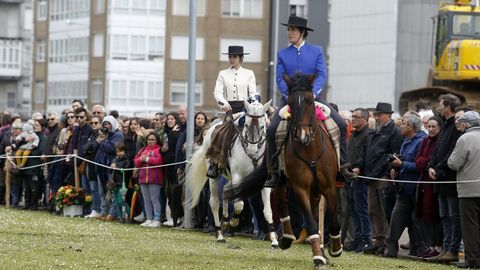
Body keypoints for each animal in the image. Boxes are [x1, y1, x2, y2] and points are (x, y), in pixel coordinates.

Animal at [187, 99, 280, 247]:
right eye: (246, 124)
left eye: (262, 126)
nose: (252, 150)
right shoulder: (238, 177)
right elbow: (239, 204)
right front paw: (233, 221)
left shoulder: (264, 183)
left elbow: (267, 211)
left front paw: (274, 239)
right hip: (214, 178)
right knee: (214, 202)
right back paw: (220, 233)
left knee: (225, 190)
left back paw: (224, 222)